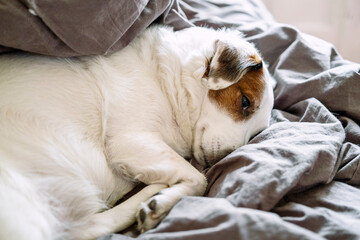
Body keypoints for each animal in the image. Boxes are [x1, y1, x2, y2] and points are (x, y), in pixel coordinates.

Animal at [0, 25, 274, 239]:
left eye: (256, 134)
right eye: (245, 102)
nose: (225, 158)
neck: (167, 82)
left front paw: (161, 201)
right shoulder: (130, 141)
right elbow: (199, 179)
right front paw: (164, 200)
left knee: (92, 226)